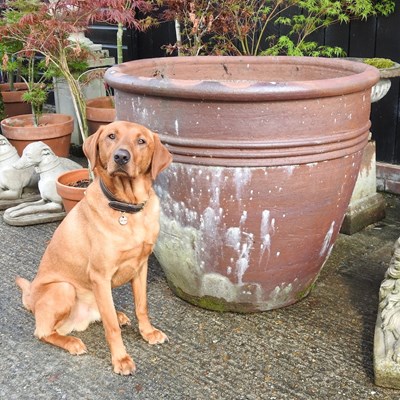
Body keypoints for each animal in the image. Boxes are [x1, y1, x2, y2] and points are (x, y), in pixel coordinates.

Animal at [16, 120, 172, 374]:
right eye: (111, 136)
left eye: (141, 141)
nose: (121, 157)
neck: (126, 209)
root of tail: (31, 299)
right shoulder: (100, 275)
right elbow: (111, 328)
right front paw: (120, 359)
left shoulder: (141, 267)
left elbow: (142, 306)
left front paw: (147, 333)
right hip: (64, 288)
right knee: (44, 331)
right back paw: (72, 342)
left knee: (103, 313)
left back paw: (118, 315)